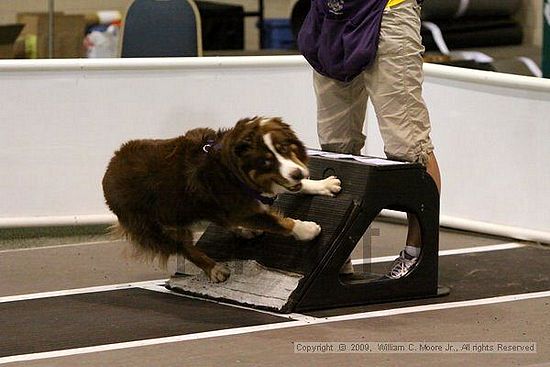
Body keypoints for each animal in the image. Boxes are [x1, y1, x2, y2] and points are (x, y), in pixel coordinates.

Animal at [102, 116, 340, 284]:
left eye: (284, 148)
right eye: (265, 162)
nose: (297, 173)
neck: (232, 169)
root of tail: (109, 170)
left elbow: (295, 189)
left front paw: (323, 184)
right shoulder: (241, 208)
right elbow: (279, 222)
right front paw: (306, 229)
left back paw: (244, 231)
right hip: (156, 226)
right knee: (185, 248)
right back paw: (215, 269)